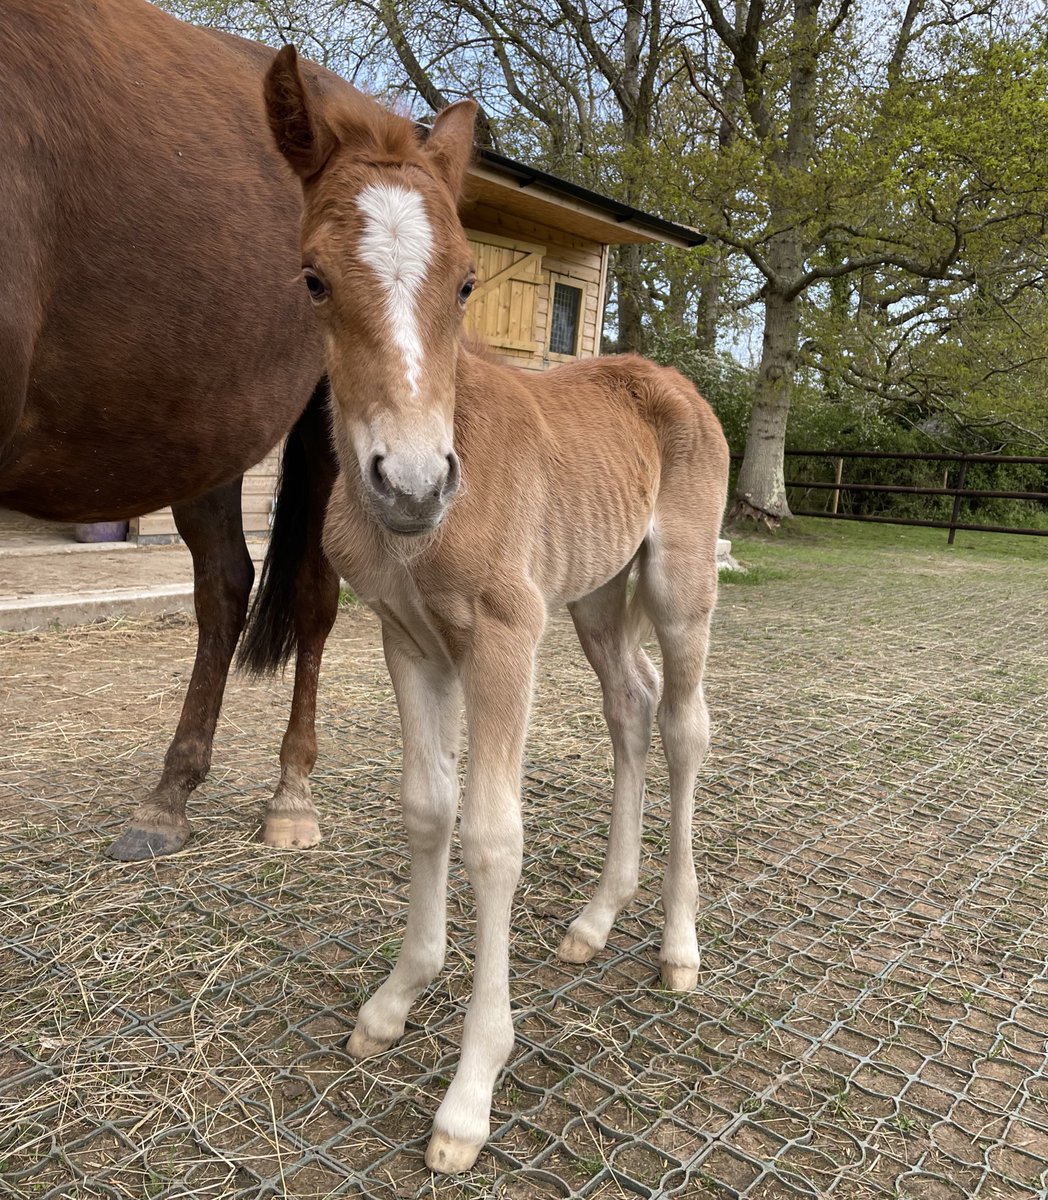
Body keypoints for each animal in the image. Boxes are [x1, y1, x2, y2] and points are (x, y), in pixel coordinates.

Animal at [263, 45, 729, 1174]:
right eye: (312, 278)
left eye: (469, 279)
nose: (412, 483)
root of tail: (669, 379)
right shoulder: (407, 639)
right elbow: (428, 809)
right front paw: (393, 1004)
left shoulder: (505, 639)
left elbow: (491, 836)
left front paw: (470, 1092)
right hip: (597, 597)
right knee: (629, 707)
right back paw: (598, 919)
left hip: (677, 585)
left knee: (685, 724)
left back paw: (677, 946)